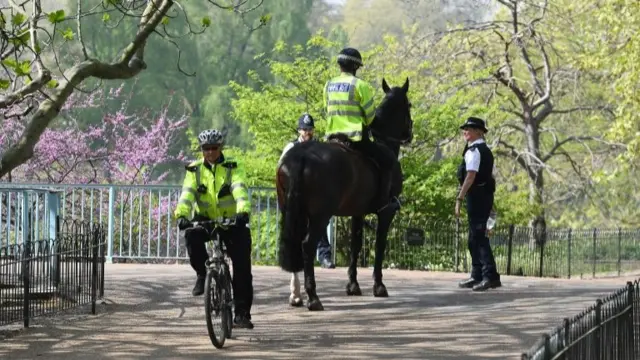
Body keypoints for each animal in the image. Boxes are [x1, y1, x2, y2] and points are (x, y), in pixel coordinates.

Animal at [278, 77, 412, 310]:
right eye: (409, 105)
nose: (410, 134)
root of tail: (301, 156)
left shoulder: (357, 212)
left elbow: (355, 245)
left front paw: (353, 285)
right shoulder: (386, 213)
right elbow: (380, 244)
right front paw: (379, 286)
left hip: (291, 211)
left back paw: (297, 295)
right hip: (320, 216)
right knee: (307, 245)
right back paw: (313, 297)